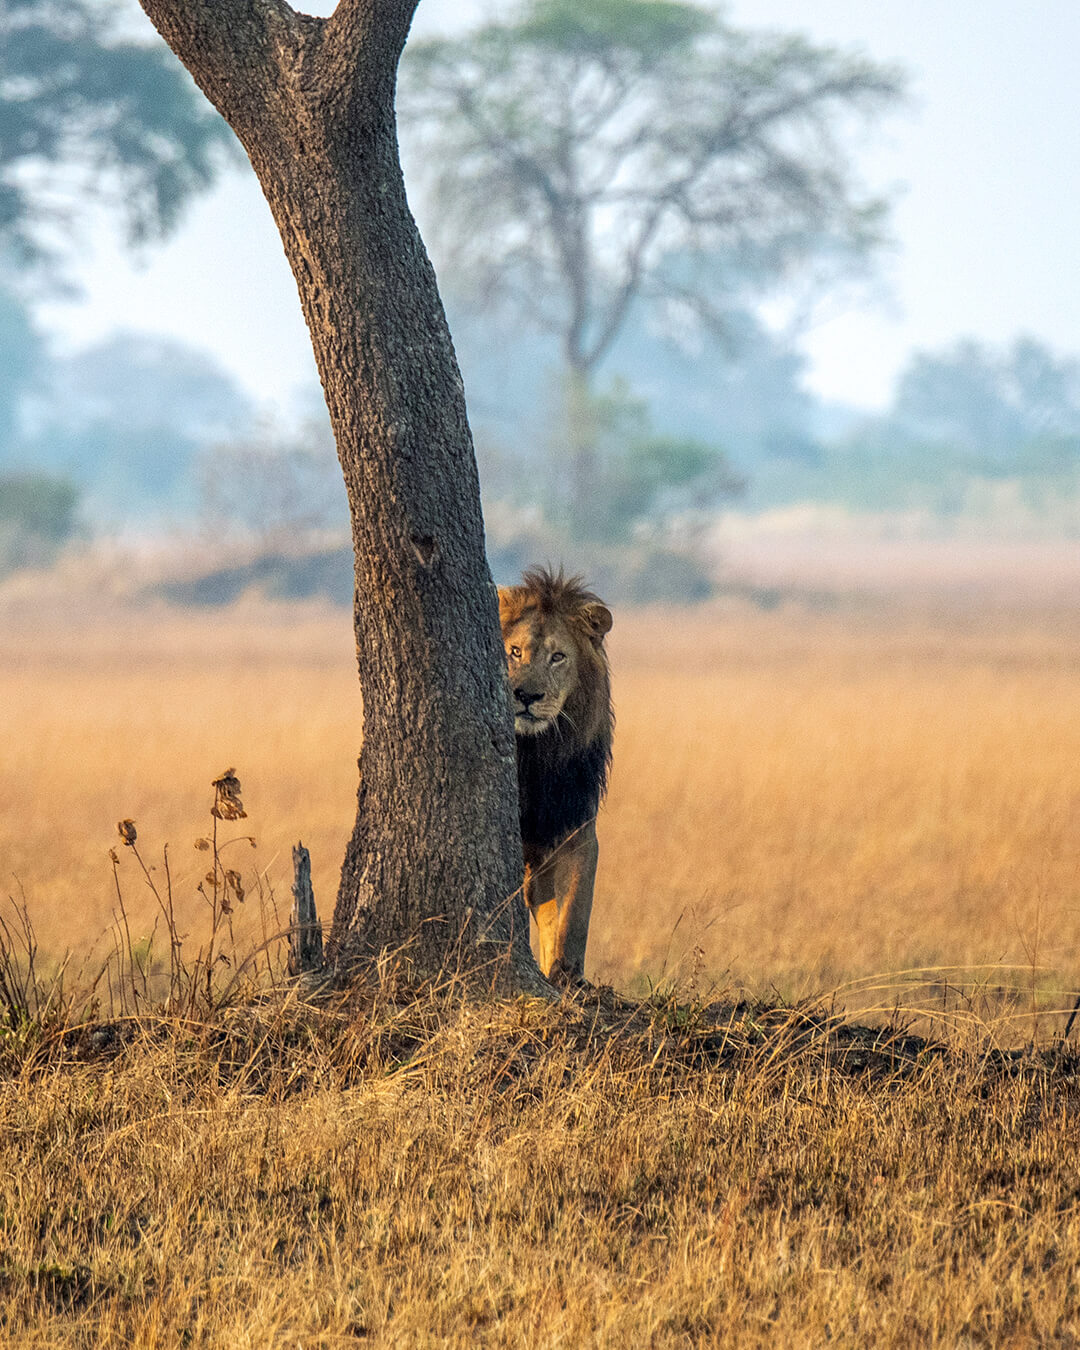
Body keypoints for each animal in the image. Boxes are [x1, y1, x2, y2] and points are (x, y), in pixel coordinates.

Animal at [497, 567, 613, 984]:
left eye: (558, 657)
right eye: (515, 651)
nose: (526, 695)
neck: (538, 754)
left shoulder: (575, 826)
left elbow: (572, 915)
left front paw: (567, 977)